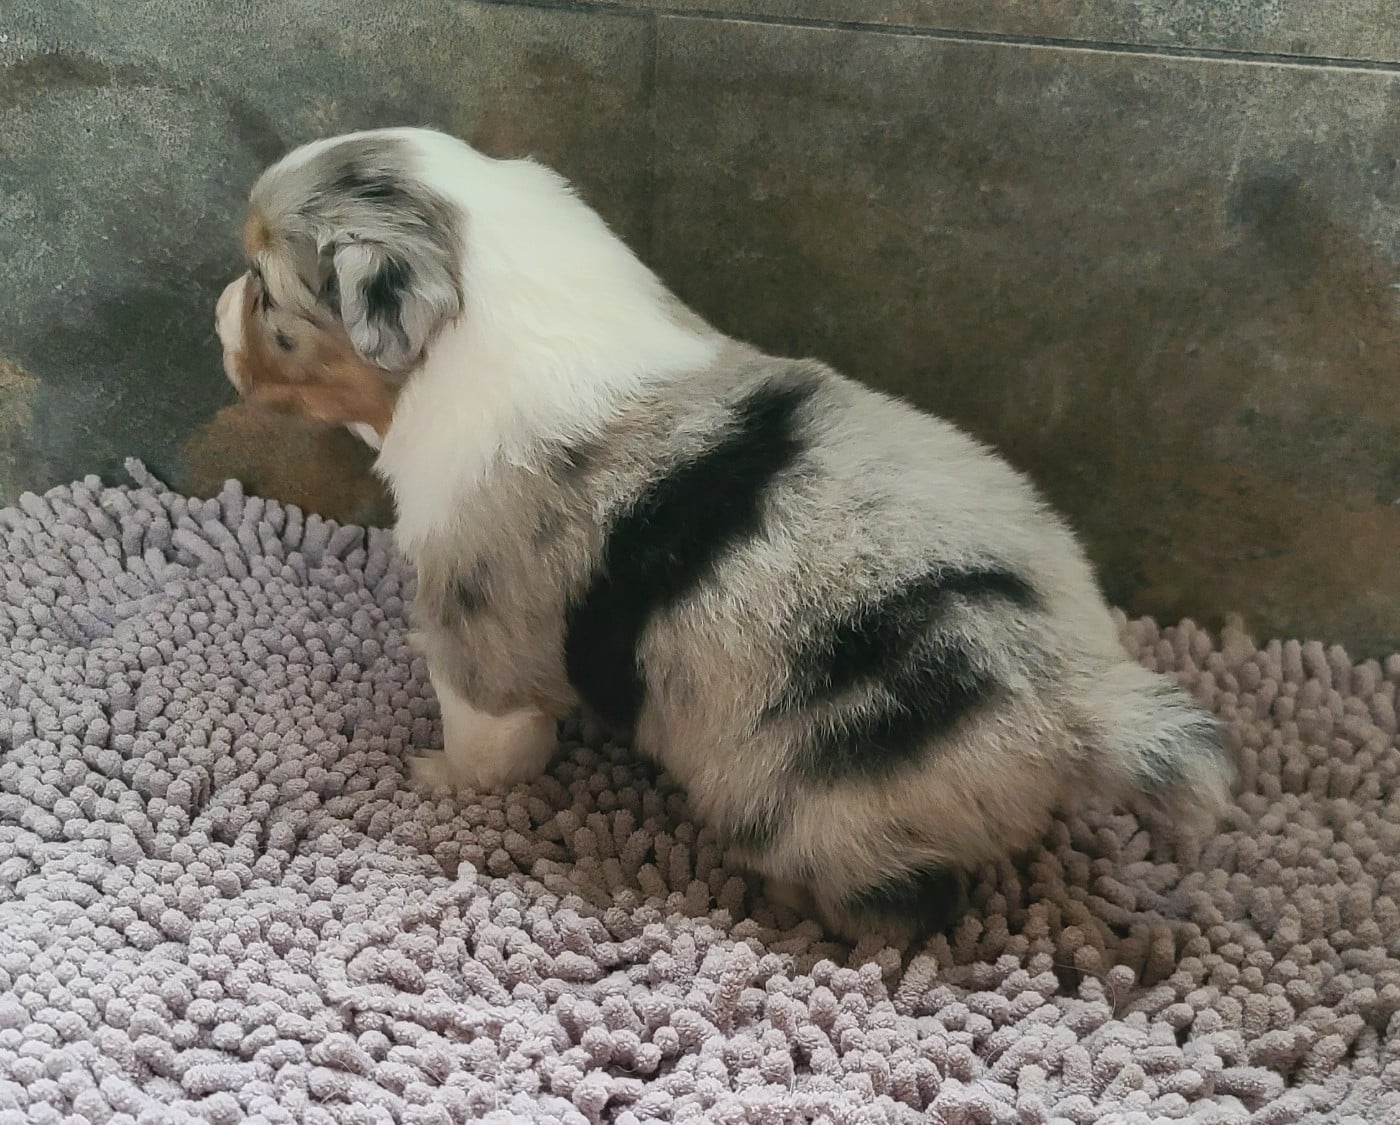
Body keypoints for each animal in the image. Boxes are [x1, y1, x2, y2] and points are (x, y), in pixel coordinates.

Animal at [214, 127, 1233, 938]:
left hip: (821, 809)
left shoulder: (479, 633)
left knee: (901, 912)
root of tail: (1080, 696)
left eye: (265, 291)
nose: (216, 310)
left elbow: (485, 744)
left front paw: (435, 779)